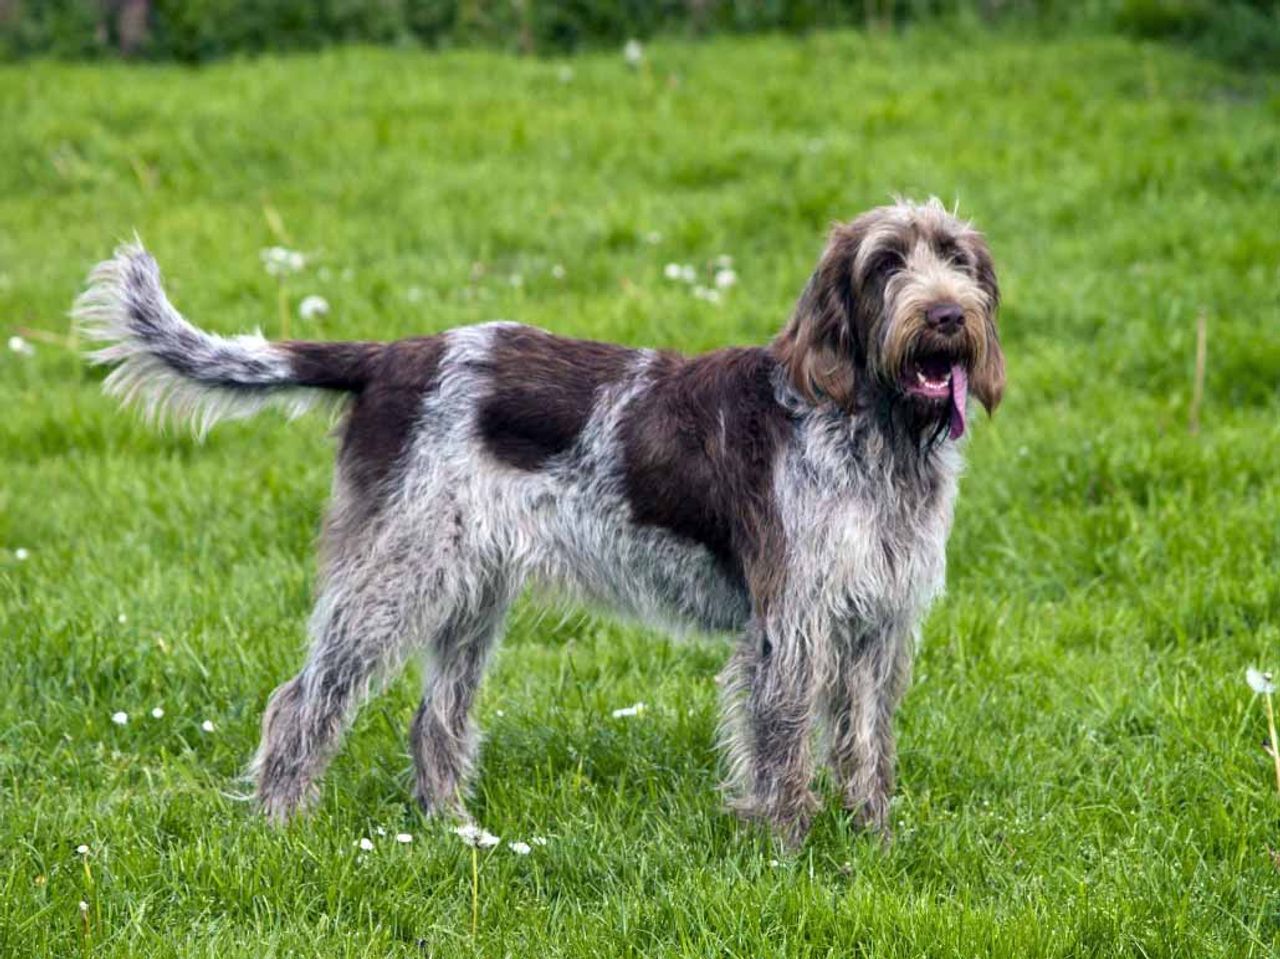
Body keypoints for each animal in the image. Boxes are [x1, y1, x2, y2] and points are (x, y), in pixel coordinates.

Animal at [74, 198, 1003, 839]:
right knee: (301, 702)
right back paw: (280, 824)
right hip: (394, 580)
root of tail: (389, 357)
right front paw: (787, 851)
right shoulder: (793, 626)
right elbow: (782, 750)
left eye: (957, 259)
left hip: (469, 592)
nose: (946, 314)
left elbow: (867, 746)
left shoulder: (880, 623)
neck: (874, 431)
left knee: (434, 720)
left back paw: (454, 832)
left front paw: (873, 841)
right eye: (886, 264)